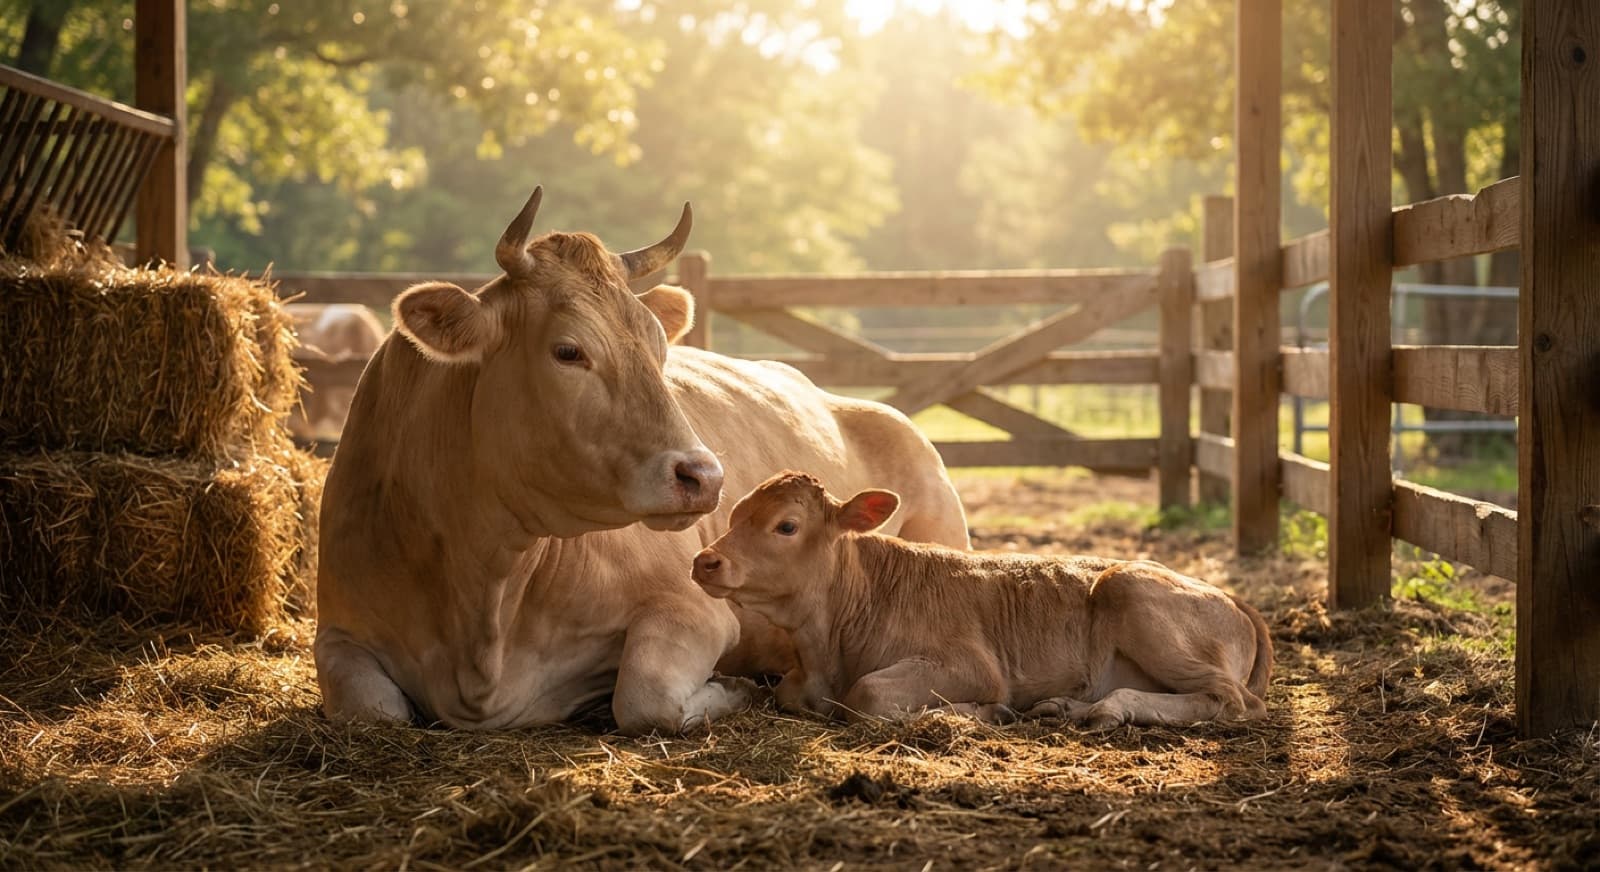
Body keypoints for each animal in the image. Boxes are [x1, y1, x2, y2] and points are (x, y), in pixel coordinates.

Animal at [314, 187, 970, 734]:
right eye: (568, 351)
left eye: (660, 348)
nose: (705, 476)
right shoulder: (337, 632)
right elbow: (372, 710)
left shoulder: (693, 609)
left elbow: (644, 696)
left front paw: (734, 689)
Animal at [690, 472, 1273, 728]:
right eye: (735, 515)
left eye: (786, 525)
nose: (705, 561)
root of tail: (1232, 597)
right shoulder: (799, 681)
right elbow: (789, 693)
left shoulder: (972, 664)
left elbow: (869, 695)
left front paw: (983, 712)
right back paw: (1066, 706)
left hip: (1128, 588)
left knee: (1232, 700)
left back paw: (1109, 707)